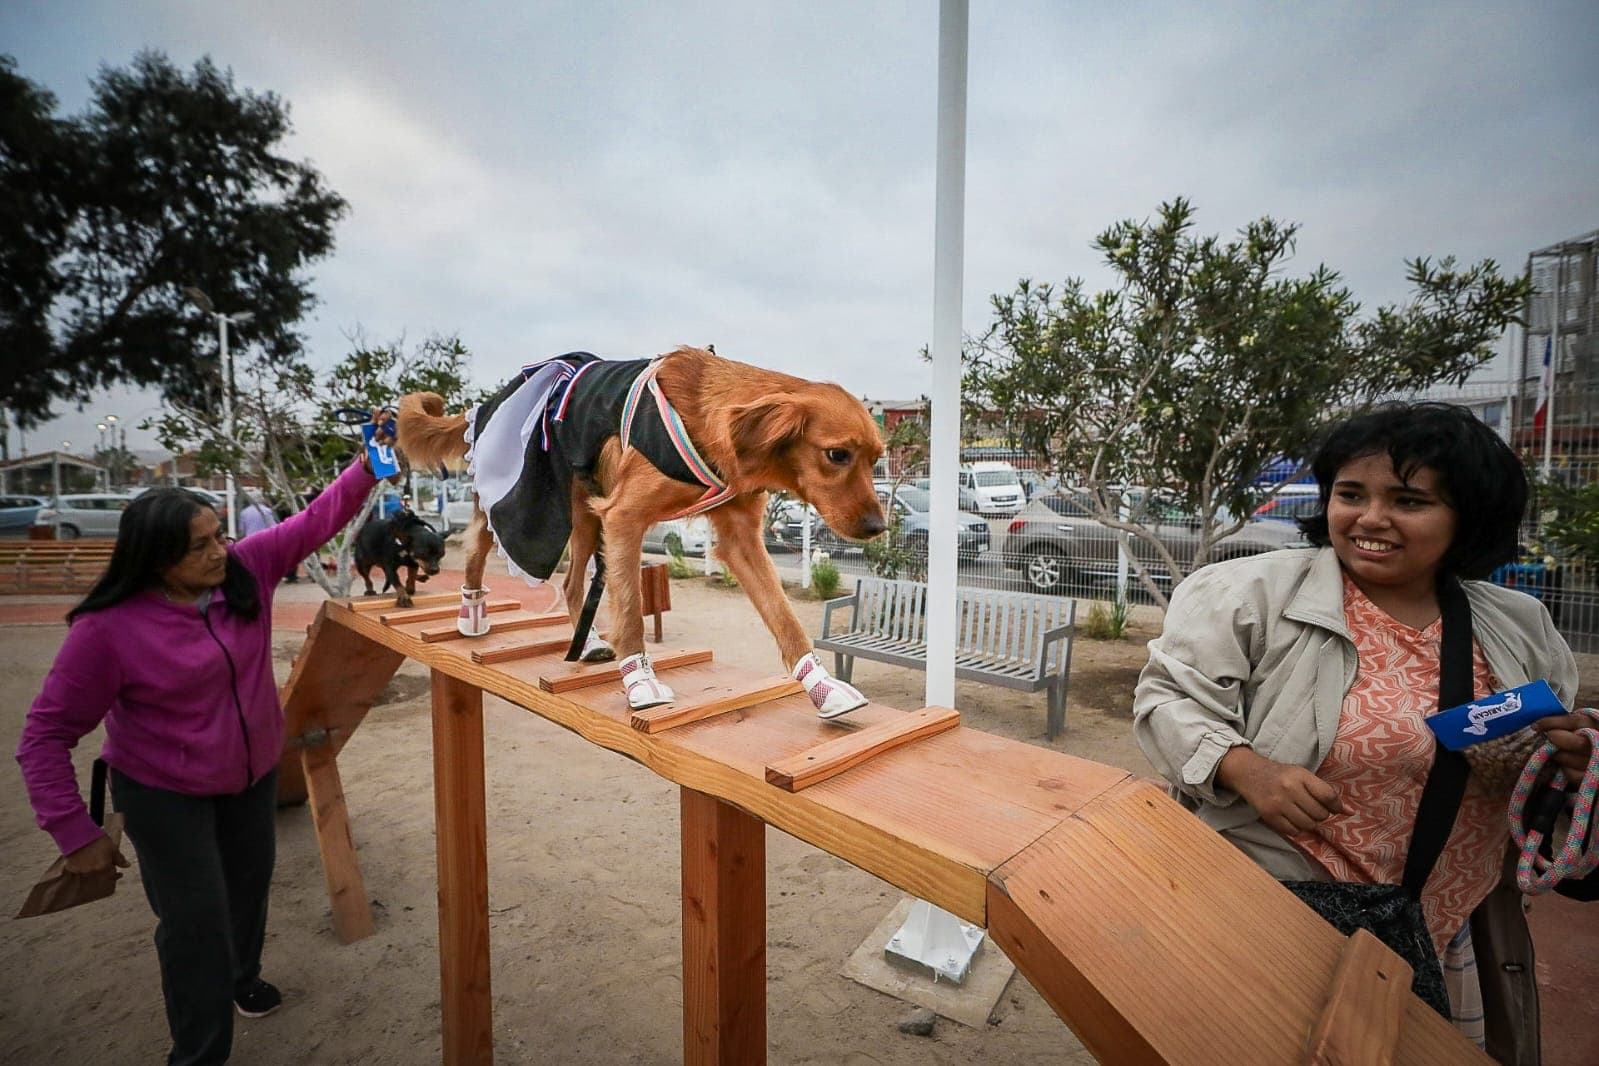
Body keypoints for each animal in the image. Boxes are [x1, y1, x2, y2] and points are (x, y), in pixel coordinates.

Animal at [391, 350, 882, 712]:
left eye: (877, 459)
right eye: (837, 455)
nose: (878, 526)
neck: (712, 419)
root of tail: (490, 401)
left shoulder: (739, 536)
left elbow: (784, 617)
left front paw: (820, 686)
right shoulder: (624, 518)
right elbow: (629, 612)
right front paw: (640, 682)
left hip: (586, 516)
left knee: (571, 583)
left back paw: (588, 642)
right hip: (530, 508)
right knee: (477, 550)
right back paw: (471, 616)